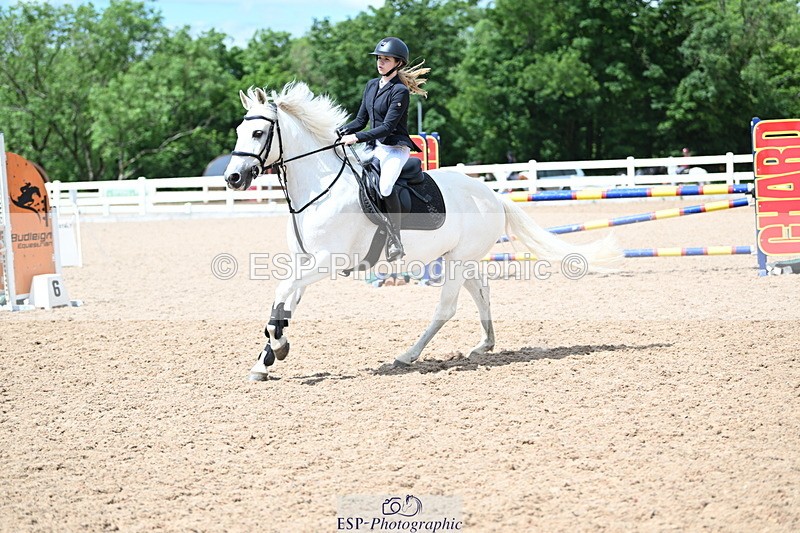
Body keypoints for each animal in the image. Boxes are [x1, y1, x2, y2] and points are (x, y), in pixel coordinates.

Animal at [224, 82, 620, 381]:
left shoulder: (327, 262)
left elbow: (281, 294)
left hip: (457, 262)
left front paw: (277, 347)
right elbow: (284, 303)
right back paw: (484, 345)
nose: (233, 178)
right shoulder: (303, 261)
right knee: (482, 292)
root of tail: (491, 194)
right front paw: (266, 359)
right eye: (240, 131)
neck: (319, 189)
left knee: (446, 308)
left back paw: (408, 355)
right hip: (462, 259)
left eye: (258, 132)